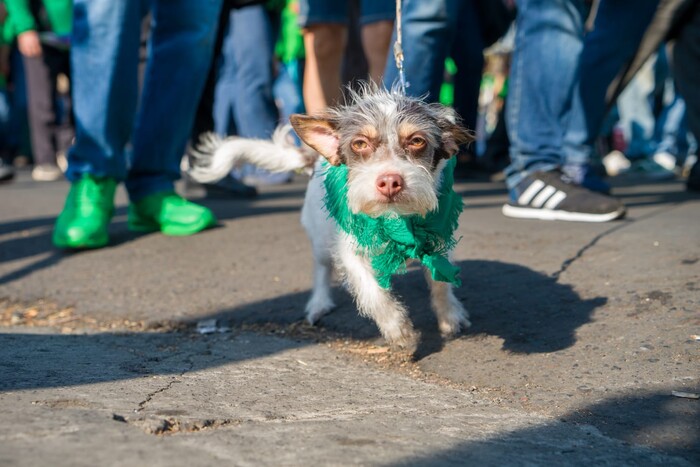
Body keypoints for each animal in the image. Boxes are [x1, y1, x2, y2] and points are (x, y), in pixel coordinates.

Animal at [190, 86, 476, 352]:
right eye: (359, 144)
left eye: (417, 141)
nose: (389, 181)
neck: (396, 220)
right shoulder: (349, 251)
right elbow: (372, 292)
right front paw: (398, 330)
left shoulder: (439, 242)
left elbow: (441, 283)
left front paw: (450, 316)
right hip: (320, 240)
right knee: (321, 270)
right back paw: (319, 303)